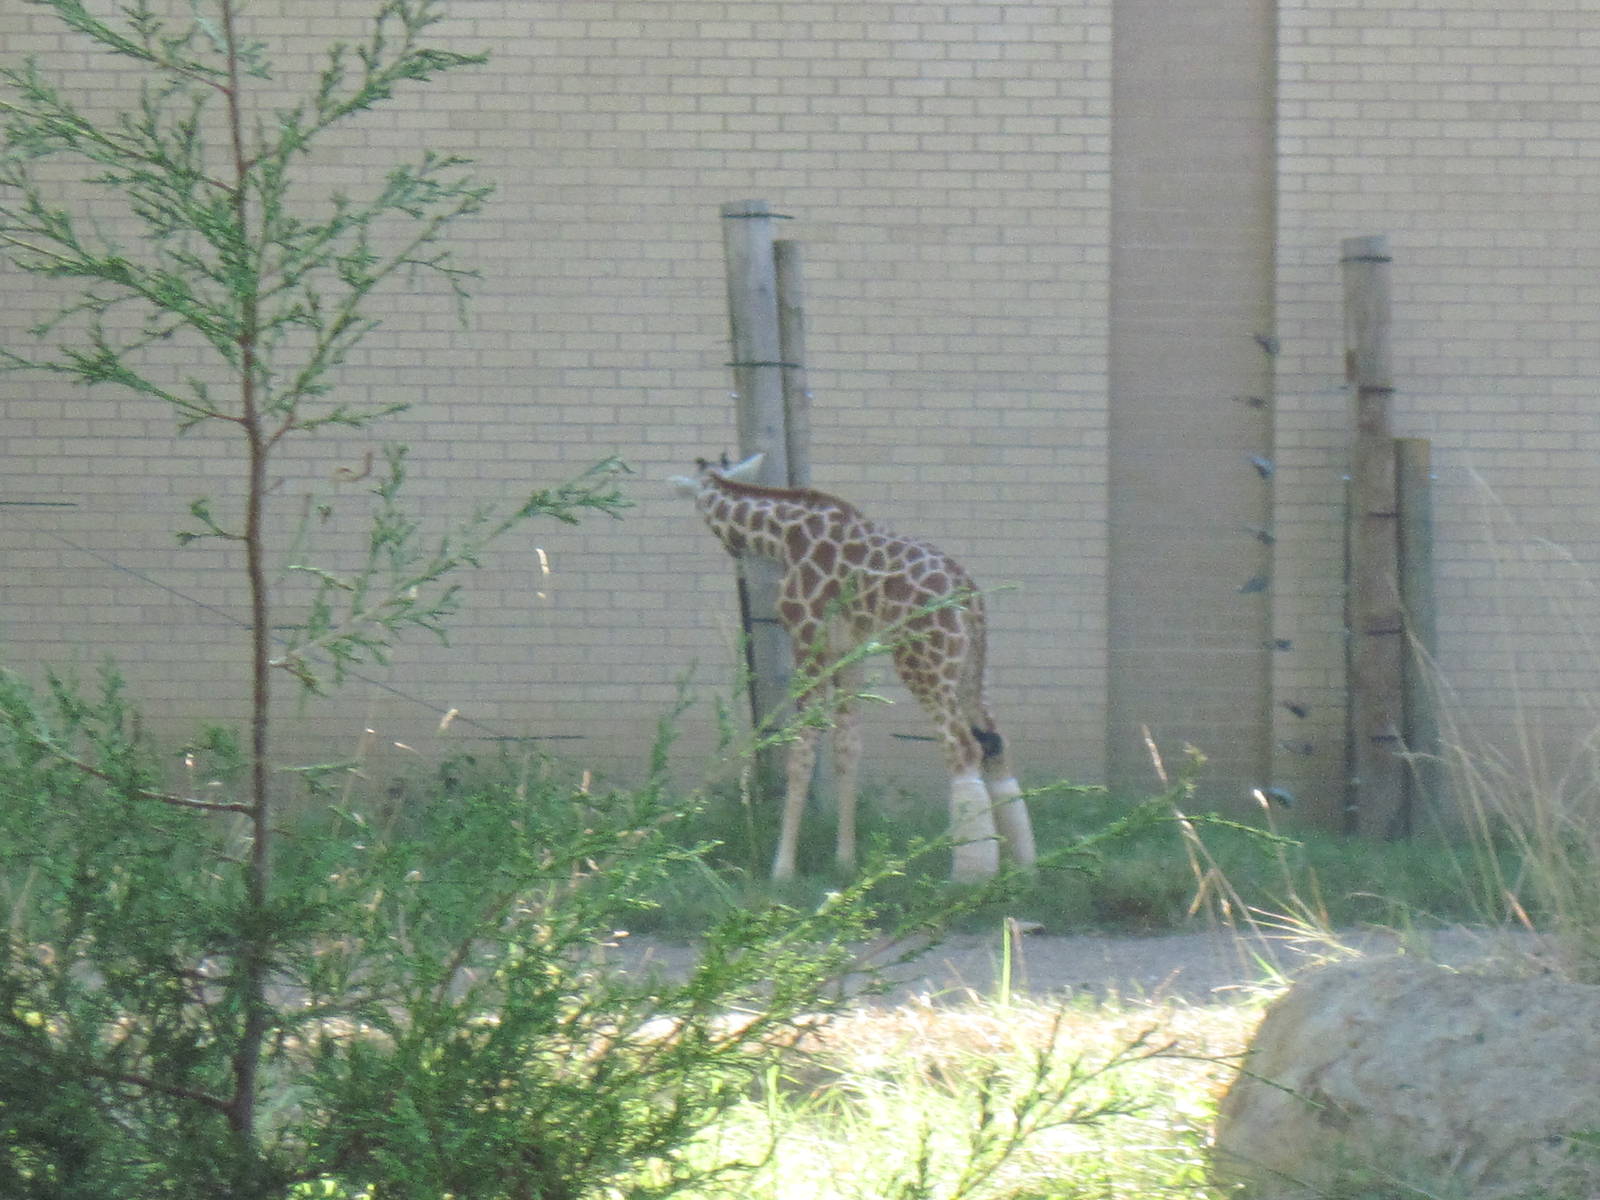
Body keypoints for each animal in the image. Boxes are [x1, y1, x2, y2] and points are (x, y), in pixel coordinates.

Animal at [671, 453, 1036, 882]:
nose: (735, 559)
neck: (784, 535)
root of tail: (969, 595)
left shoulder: (808, 640)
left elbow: (802, 748)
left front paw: (782, 869)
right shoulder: (851, 650)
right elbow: (847, 745)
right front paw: (845, 861)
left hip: (922, 663)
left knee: (962, 748)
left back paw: (967, 878)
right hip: (970, 669)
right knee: (997, 746)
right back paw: (1024, 869)